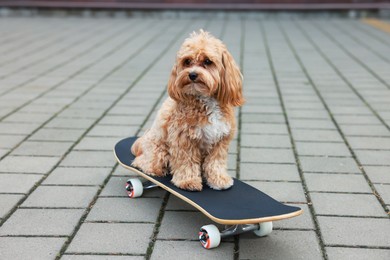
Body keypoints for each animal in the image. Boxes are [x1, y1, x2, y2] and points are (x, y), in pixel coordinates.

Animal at [133, 29, 245, 191]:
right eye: (187, 61)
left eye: (207, 61)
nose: (192, 74)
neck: (204, 100)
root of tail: (142, 141)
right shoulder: (183, 139)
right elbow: (187, 162)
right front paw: (188, 181)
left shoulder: (220, 140)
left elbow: (215, 162)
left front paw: (219, 180)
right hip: (158, 151)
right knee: (142, 162)